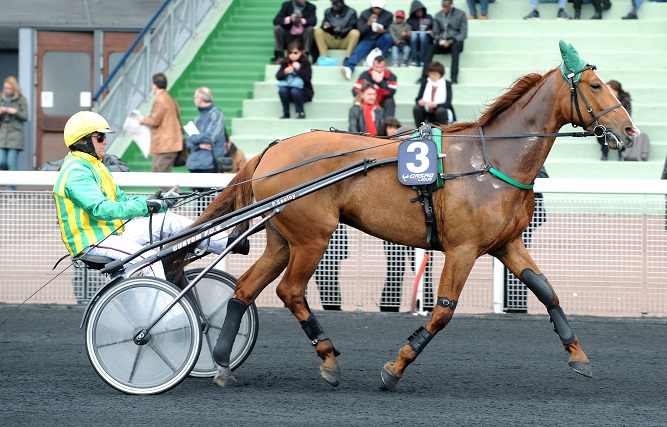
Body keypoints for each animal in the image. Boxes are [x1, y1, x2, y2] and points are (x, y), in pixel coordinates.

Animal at [164, 44, 640, 392]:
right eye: (596, 85)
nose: (630, 132)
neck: (490, 160)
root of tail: (272, 150)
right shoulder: (463, 249)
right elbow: (443, 311)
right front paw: (395, 367)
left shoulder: (507, 243)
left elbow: (547, 292)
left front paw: (578, 355)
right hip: (313, 237)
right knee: (290, 291)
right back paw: (327, 357)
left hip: (285, 239)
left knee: (245, 289)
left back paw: (223, 362)